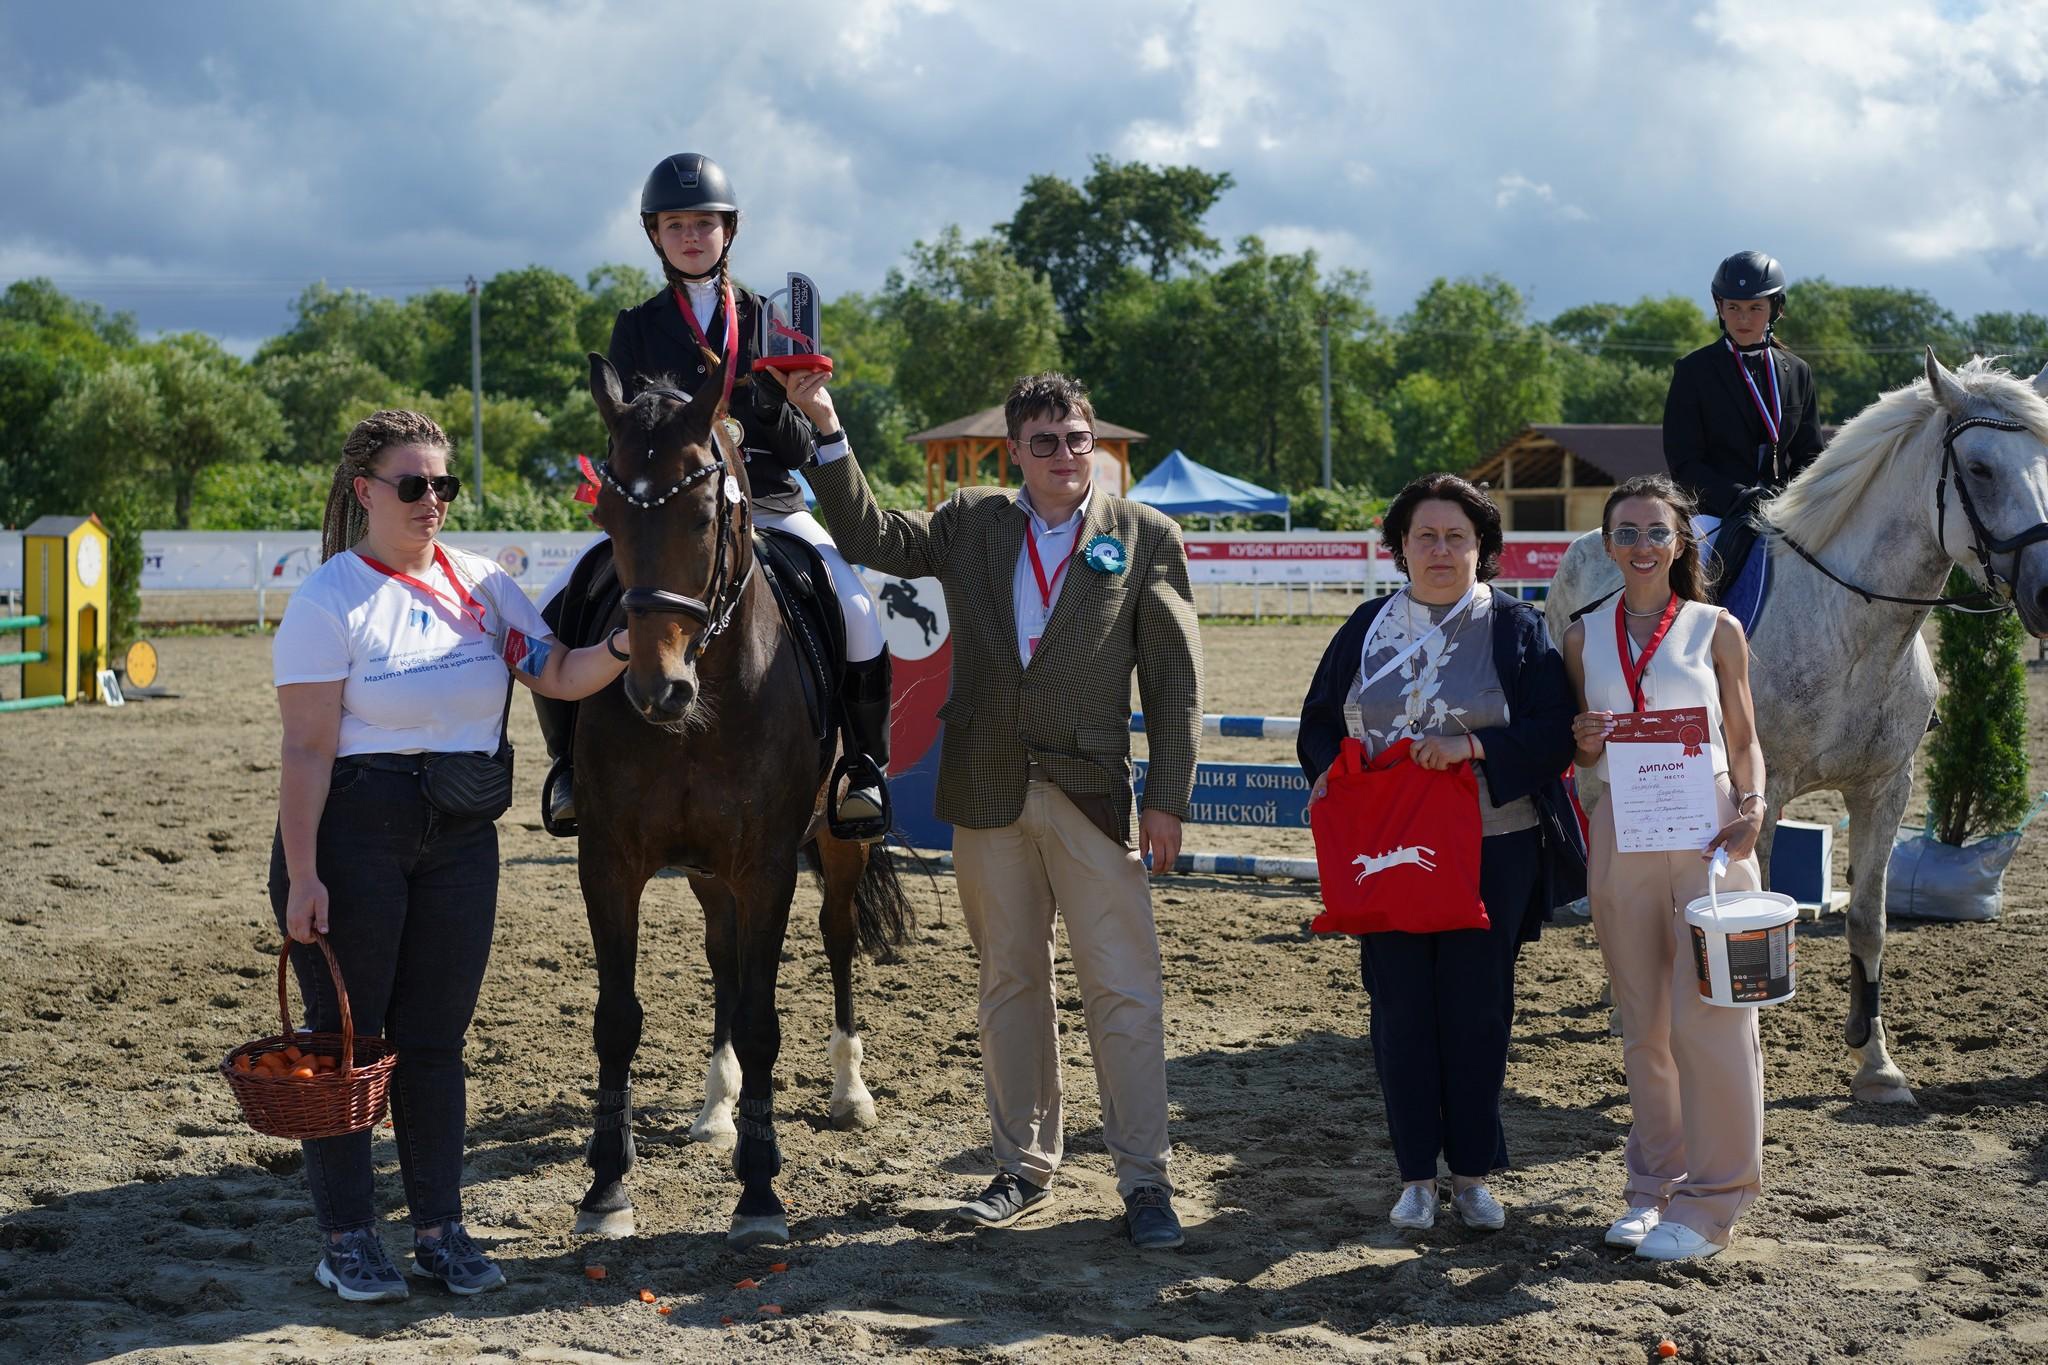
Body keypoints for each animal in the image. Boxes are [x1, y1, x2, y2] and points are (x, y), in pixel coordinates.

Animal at [569, 351, 905, 1252]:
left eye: (700, 516)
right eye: (609, 511)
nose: (656, 690)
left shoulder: (767, 863)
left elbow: (762, 1017)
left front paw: (758, 1192)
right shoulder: (608, 859)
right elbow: (618, 1017)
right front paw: (607, 1186)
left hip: (835, 843)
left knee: (837, 936)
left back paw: (847, 1091)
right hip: (707, 870)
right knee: (722, 954)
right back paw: (716, 1107)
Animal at [1540, 347, 2048, 1105]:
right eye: (1981, 469)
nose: (2047, 591)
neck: (1855, 627)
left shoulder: (1886, 788)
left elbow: (1868, 918)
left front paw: (1878, 1066)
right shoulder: (1768, 788)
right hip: (1601, 767)